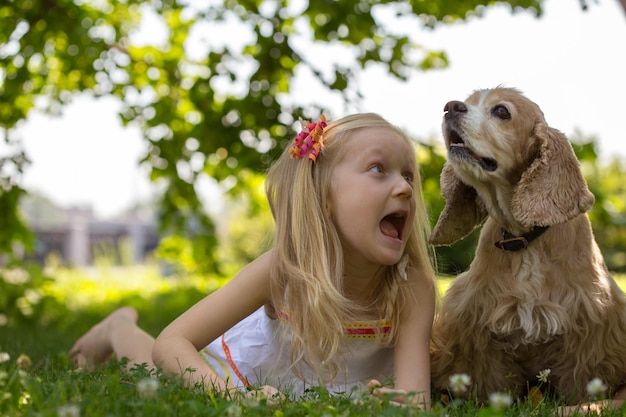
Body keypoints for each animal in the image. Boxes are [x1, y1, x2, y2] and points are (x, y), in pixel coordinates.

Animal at [428, 87, 626, 404]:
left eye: (502, 111)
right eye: (469, 102)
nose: (450, 107)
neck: (524, 237)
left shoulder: (589, 318)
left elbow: (581, 378)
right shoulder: (478, 318)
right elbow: (489, 378)